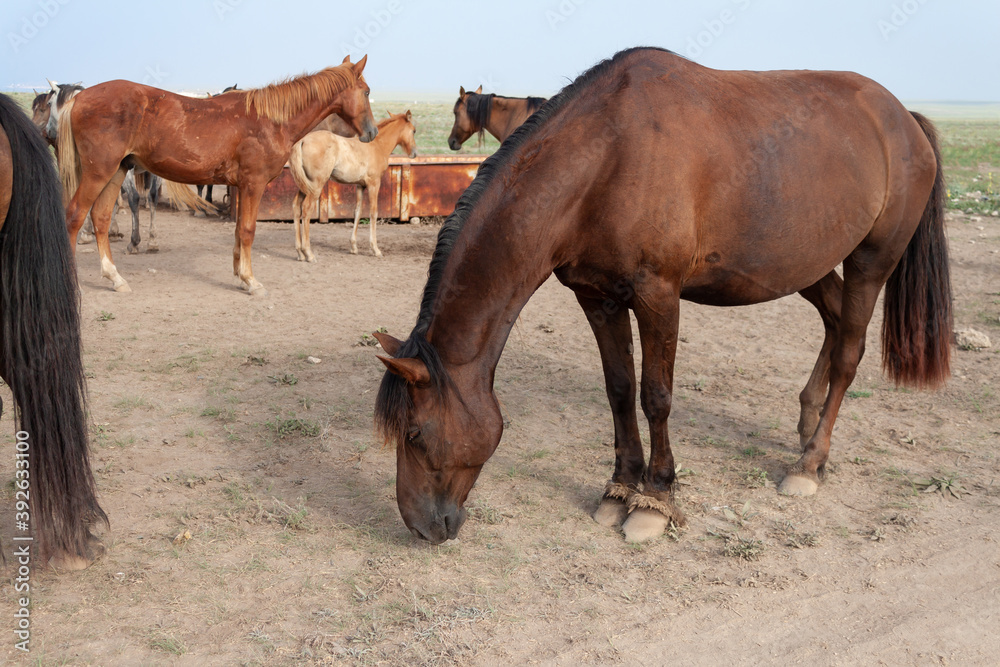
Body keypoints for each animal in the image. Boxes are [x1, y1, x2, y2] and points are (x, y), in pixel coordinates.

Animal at [59, 56, 378, 296]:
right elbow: (247, 230)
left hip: (116, 171)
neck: (272, 121)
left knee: (100, 218)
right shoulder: (253, 184)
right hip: (98, 173)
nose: (372, 132)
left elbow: (238, 230)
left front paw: (239, 274)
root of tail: (81, 97)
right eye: (366, 91)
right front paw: (251, 281)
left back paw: (115, 278)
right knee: (74, 216)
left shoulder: (242, 187)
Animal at [290, 111, 418, 260]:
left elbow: (357, 212)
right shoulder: (374, 184)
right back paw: (308, 253)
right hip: (316, 185)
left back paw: (299, 252)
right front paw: (375, 249)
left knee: (296, 207)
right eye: (414, 130)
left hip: (305, 185)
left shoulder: (360, 186)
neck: (377, 146)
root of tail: (302, 141)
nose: (414, 153)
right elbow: (373, 212)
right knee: (306, 209)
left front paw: (353, 247)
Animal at [372, 48, 948, 548]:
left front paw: (655, 500)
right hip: (808, 262)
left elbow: (656, 396)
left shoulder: (658, 296)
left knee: (850, 349)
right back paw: (805, 427)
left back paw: (809, 463)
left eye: (416, 434)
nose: (422, 526)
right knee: (833, 321)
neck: (606, 159)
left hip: (872, 259)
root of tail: (903, 117)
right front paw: (619, 489)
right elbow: (620, 389)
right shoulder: (596, 296)